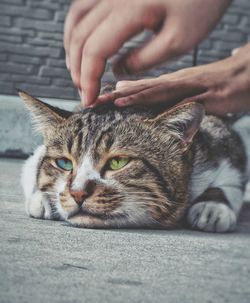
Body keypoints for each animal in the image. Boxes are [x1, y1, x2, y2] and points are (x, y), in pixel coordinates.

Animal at [18, 90, 249, 233]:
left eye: (119, 162)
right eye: (64, 163)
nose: (77, 192)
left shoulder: (223, 142)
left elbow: (231, 182)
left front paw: (213, 207)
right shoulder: (36, 156)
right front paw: (45, 198)